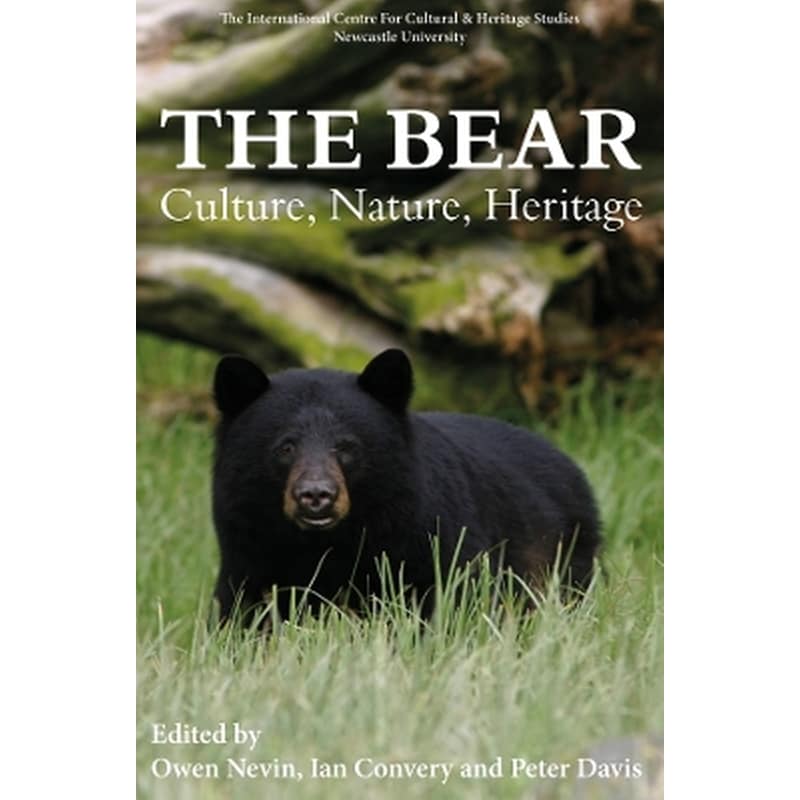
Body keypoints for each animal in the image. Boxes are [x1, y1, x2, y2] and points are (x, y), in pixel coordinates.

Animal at [211, 348, 600, 624]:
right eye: (286, 447)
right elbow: (246, 610)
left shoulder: (426, 535)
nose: (316, 495)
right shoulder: (250, 547)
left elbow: (450, 595)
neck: (328, 541)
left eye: (347, 447)